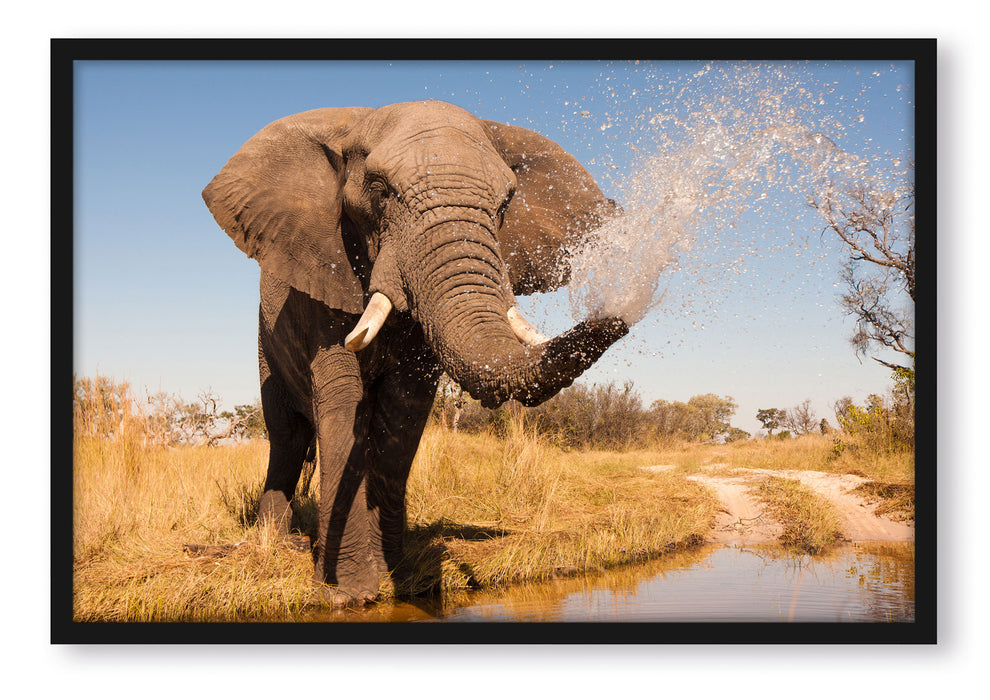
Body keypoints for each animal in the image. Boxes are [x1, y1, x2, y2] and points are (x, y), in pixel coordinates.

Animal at [202, 100, 628, 608]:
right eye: (380, 191)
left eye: (506, 203)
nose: (620, 314)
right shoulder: (323, 272)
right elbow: (343, 401)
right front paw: (349, 594)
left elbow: (404, 410)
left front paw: (400, 579)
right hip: (266, 342)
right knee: (285, 435)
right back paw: (277, 542)